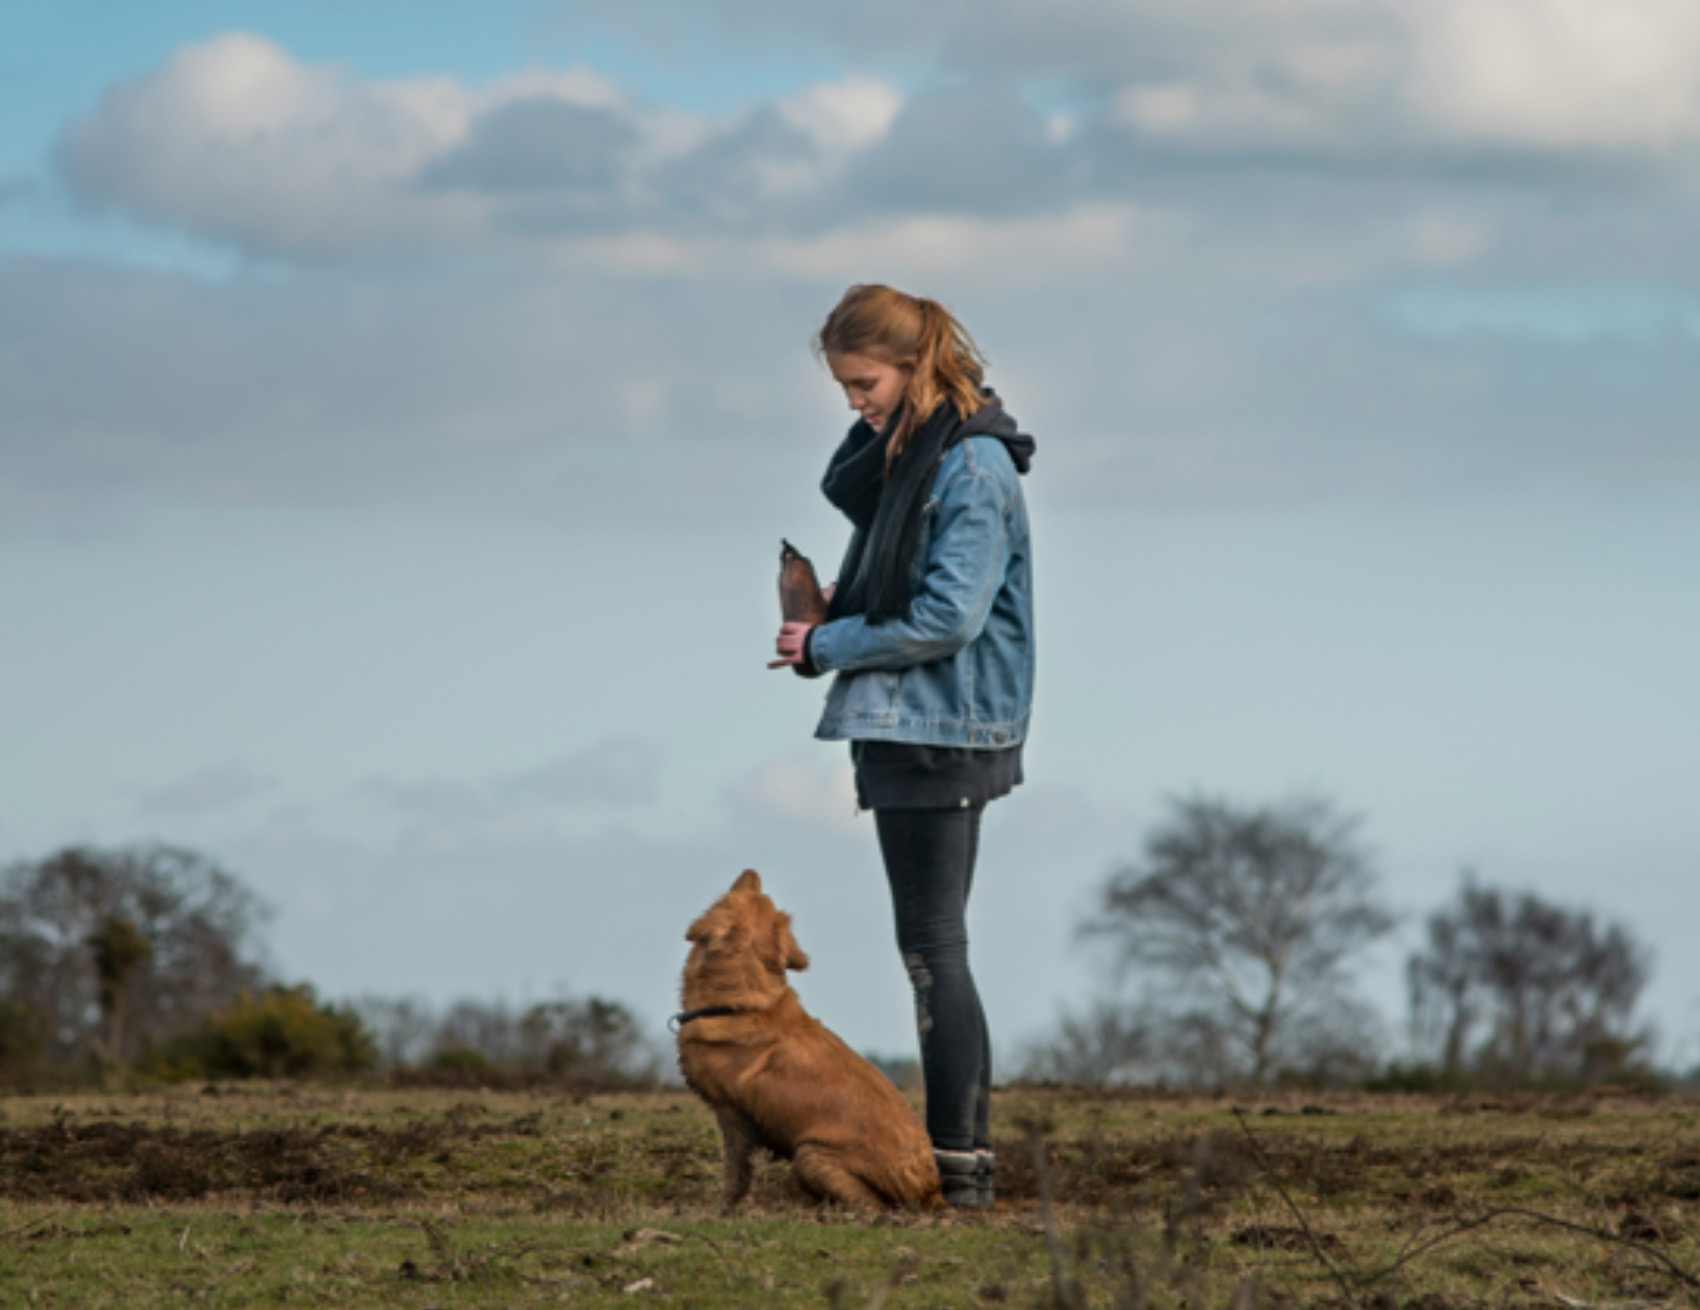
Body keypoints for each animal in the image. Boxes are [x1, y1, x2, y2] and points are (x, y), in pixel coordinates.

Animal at [673, 869, 945, 1209]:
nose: (752, 872)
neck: (738, 1004)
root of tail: (932, 1188)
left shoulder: (731, 1112)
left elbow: (734, 1171)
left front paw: (724, 1207)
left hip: (810, 1154)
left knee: (873, 1205)